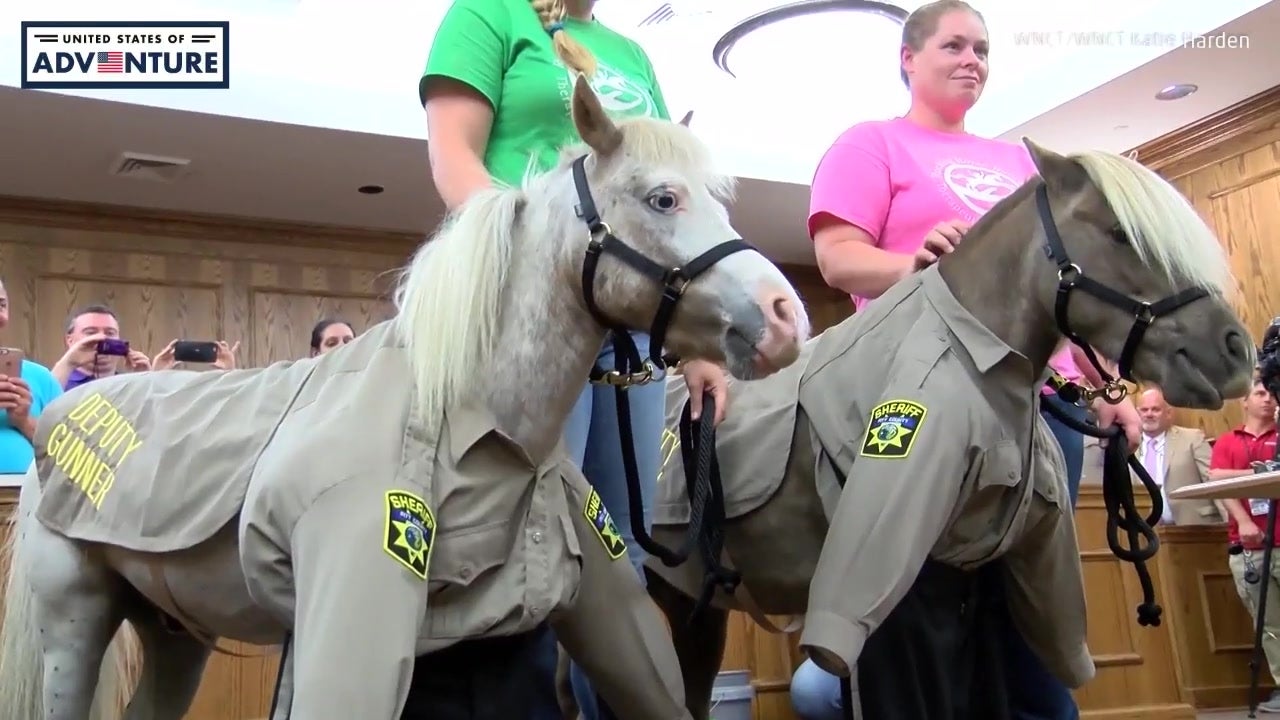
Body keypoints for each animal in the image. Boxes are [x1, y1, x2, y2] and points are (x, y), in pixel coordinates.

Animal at [0, 74, 811, 720]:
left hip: (174, 632)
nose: (785, 318)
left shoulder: (605, 612)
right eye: (662, 197)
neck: (466, 414)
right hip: (73, 626)